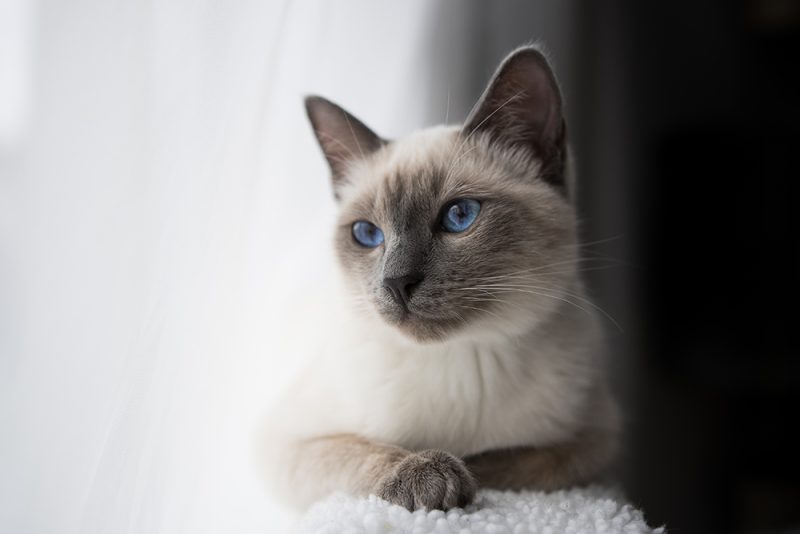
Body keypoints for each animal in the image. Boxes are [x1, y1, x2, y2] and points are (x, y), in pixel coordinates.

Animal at [262, 46, 620, 516]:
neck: (462, 358)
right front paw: (431, 476)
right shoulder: (289, 443)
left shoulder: (594, 440)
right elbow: (364, 452)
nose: (397, 282)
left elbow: (513, 461)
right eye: (367, 234)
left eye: (459, 216)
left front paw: (466, 472)